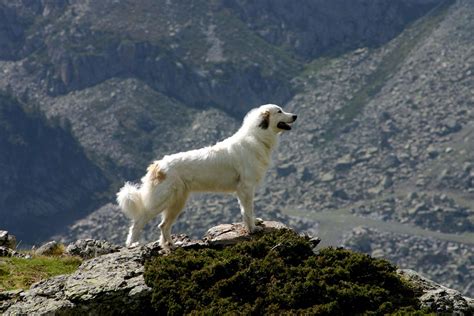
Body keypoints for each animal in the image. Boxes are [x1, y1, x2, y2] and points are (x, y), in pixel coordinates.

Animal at [116, 103, 296, 249]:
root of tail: (157, 165)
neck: (258, 137)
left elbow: (247, 210)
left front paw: (255, 222)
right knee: (139, 221)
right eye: (279, 111)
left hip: (177, 203)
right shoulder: (246, 188)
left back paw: (171, 245)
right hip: (160, 201)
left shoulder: (243, 190)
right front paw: (252, 228)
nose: (295, 116)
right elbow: (247, 210)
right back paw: (132, 244)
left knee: (163, 225)